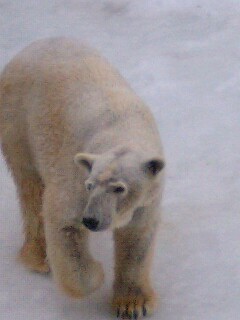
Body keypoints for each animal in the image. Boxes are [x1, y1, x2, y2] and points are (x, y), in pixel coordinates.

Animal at [0, 38, 165, 318]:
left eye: (119, 188)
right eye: (90, 185)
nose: (91, 220)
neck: (121, 128)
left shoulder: (148, 196)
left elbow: (137, 238)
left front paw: (133, 304)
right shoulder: (74, 177)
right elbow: (63, 223)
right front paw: (96, 273)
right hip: (17, 122)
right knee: (31, 189)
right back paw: (39, 257)